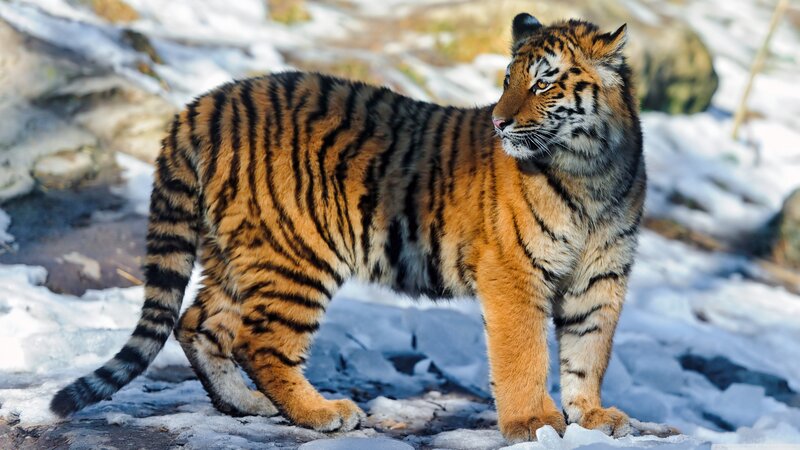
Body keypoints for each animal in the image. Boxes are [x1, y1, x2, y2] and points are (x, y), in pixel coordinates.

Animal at [50, 13, 645, 443]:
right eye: (506, 81)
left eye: (543, 83)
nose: (499, 122)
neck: (592, 170)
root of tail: (205, 103)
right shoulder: (514, 272)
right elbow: (524, 354)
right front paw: (534, 424)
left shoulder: (601, 277)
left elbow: (589, 351)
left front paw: (591, 417)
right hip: (298, 253)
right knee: (259, 340)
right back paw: (321, 413)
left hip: (235, 252)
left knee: (198, 322)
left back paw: (245, 405)